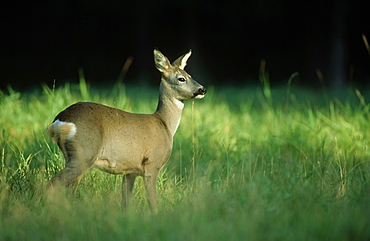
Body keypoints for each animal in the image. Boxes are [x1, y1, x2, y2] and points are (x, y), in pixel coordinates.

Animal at [47, 49, 205, 213]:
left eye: (190, 75)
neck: (165, 124)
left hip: (73, 156)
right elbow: (152, 201)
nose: (202, 89)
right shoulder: (152, 163)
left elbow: (126, 201)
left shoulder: (130, 170)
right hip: (84, 153)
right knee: (51, 185)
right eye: (181, 78)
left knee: (68, 189)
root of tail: (58, 121)